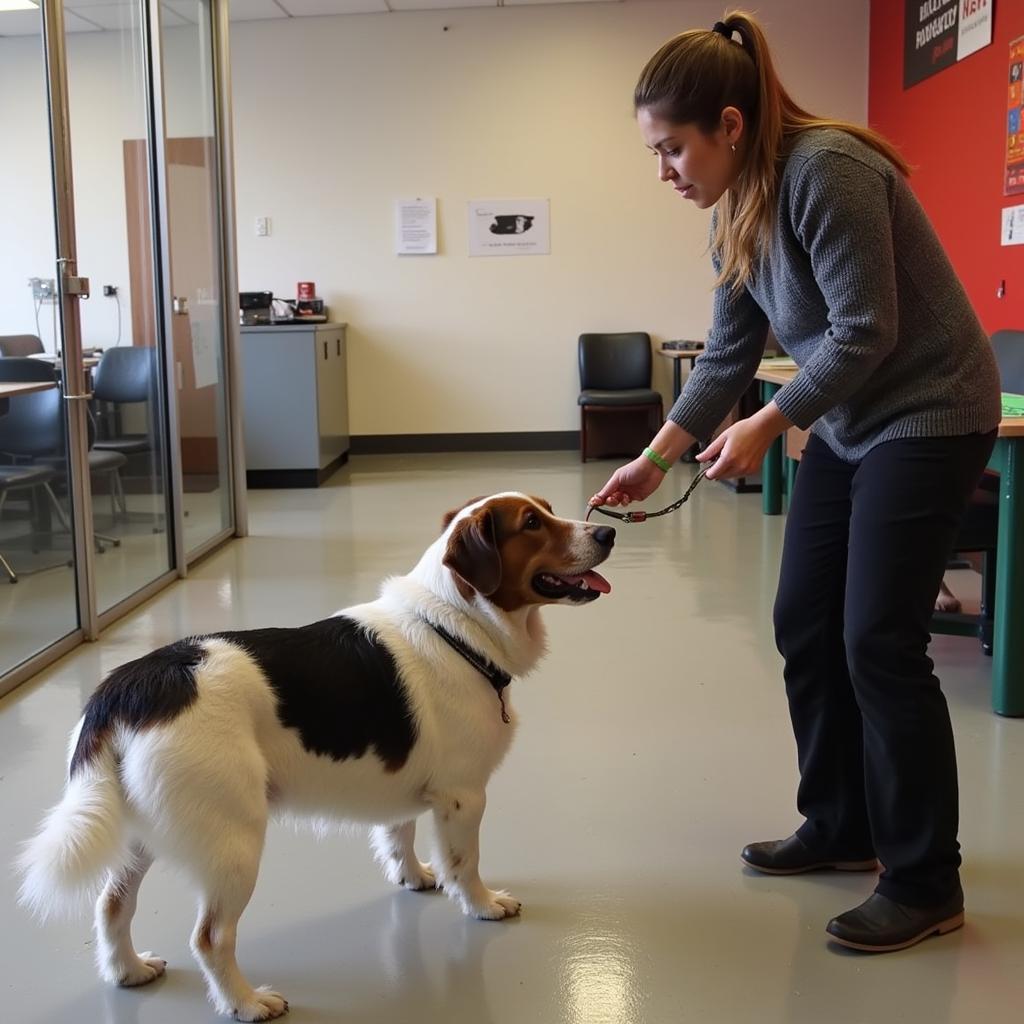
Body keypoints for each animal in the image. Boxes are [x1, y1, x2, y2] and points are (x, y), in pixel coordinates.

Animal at [19, 491, 614, 1019]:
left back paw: (129, 971)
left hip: (141, 834)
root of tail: (128, 687)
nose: (606, 533)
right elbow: (465, 865)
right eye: (531, 523)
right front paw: (483, 905)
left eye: (547, 509)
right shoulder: (463, 797)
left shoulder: (405, 788)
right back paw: (246, 1003)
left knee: (112, 905)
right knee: (211, 938)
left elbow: (399, 837)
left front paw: (414, 877)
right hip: (235, 843)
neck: (455, 626)